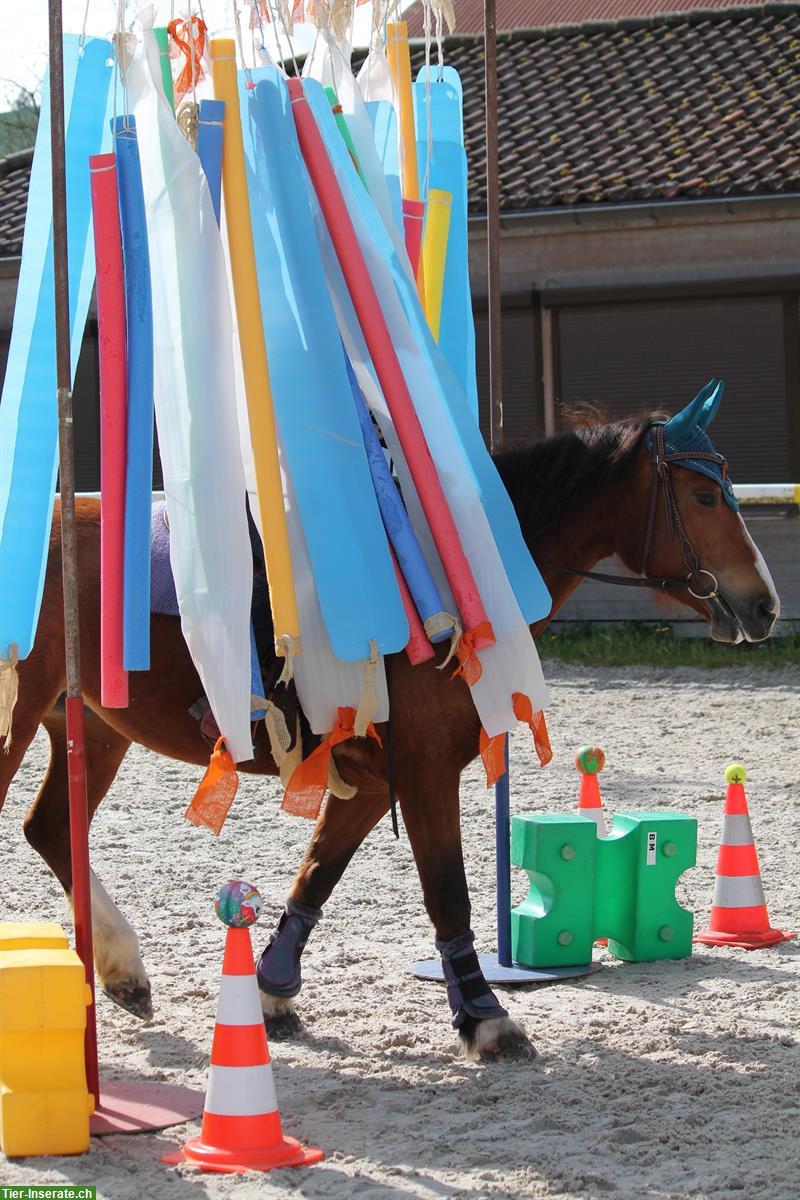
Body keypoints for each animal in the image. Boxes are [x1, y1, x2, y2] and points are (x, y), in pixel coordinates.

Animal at [0, 410, 777, 1060]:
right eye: (704, 499)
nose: (765, 604)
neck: (442, 583)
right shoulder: (427, 773)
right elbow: (448, 893)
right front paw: (486, 1018)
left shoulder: (374, 783)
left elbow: (316, 876)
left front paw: (271, 993)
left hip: (95, 731)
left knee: (50, 829)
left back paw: (123, 970)